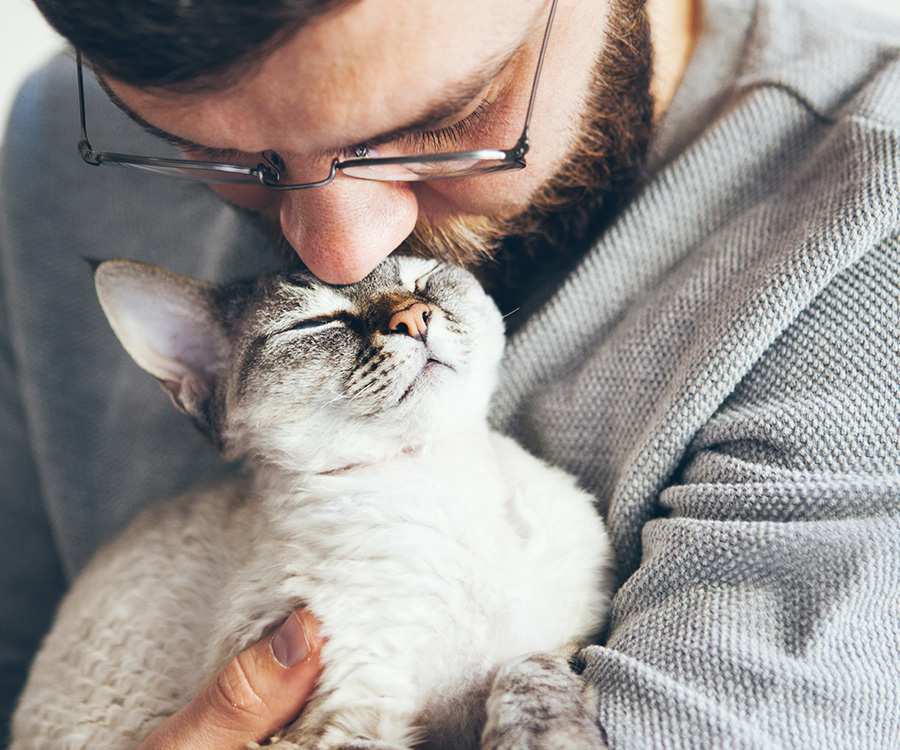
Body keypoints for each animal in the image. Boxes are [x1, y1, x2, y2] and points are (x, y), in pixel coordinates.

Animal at [8, 256, 612, 748]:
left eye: (422, 279)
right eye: (316, 324)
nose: (414, 317)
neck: (438, 481)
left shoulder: (563, 643)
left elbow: (527, 674)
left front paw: (554, 734)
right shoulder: (342, 720)